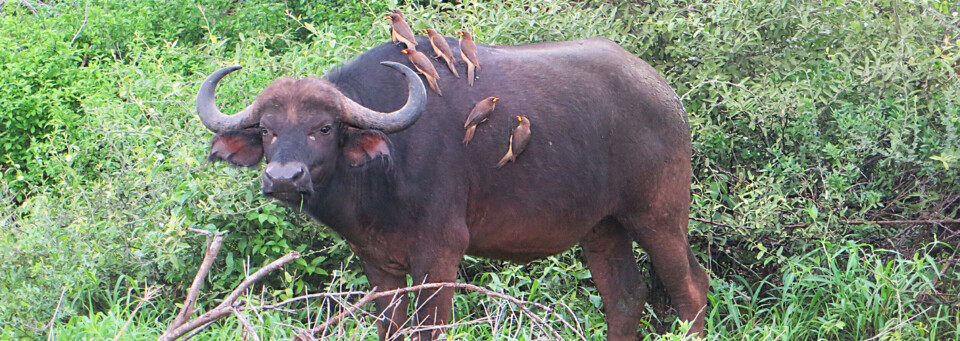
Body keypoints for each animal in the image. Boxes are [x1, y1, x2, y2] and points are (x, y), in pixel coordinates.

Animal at [197, 35, 704, 338]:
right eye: (267, 130)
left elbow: (430, 330)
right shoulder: (379, 265)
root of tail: (667, 96)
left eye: (323, 128)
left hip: (659, 216)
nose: (284, 178)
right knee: (625, 298)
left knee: (691, 291)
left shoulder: (439, 256)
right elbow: (392, 329)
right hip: (602, 227)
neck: (386, 168)